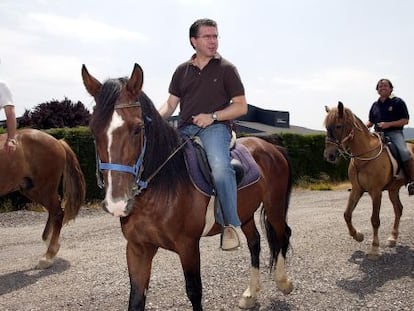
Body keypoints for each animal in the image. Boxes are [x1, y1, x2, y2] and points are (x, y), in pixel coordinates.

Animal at [0, 130, 85, 270]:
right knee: (54, 212)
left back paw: (48, 256)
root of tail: (58, 142)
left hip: (43, 188)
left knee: (58, 213)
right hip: (33, 189)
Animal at [81, 64, 294, 311]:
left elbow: (194, 291)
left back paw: (283, 282)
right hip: (246, 213)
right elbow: (136, 298)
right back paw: (250, 294)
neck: (161, 189)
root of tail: (272, 147)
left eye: (137, 129)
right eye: (93, 131)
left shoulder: (188, 246)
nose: (117, 203)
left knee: (282, 234)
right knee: (255, 243)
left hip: (275, 206)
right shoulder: (137, 248)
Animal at [326, 101, 412, 260]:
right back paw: (393, 238)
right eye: (326, 127)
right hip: (393, 189)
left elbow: (375, 220)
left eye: (338, 126)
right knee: (398, 209)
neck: (364, 157)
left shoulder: (376, 192)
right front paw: (358, 236)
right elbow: (347, 214)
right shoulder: (357, 189)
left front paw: (375, 249)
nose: (329, 155)